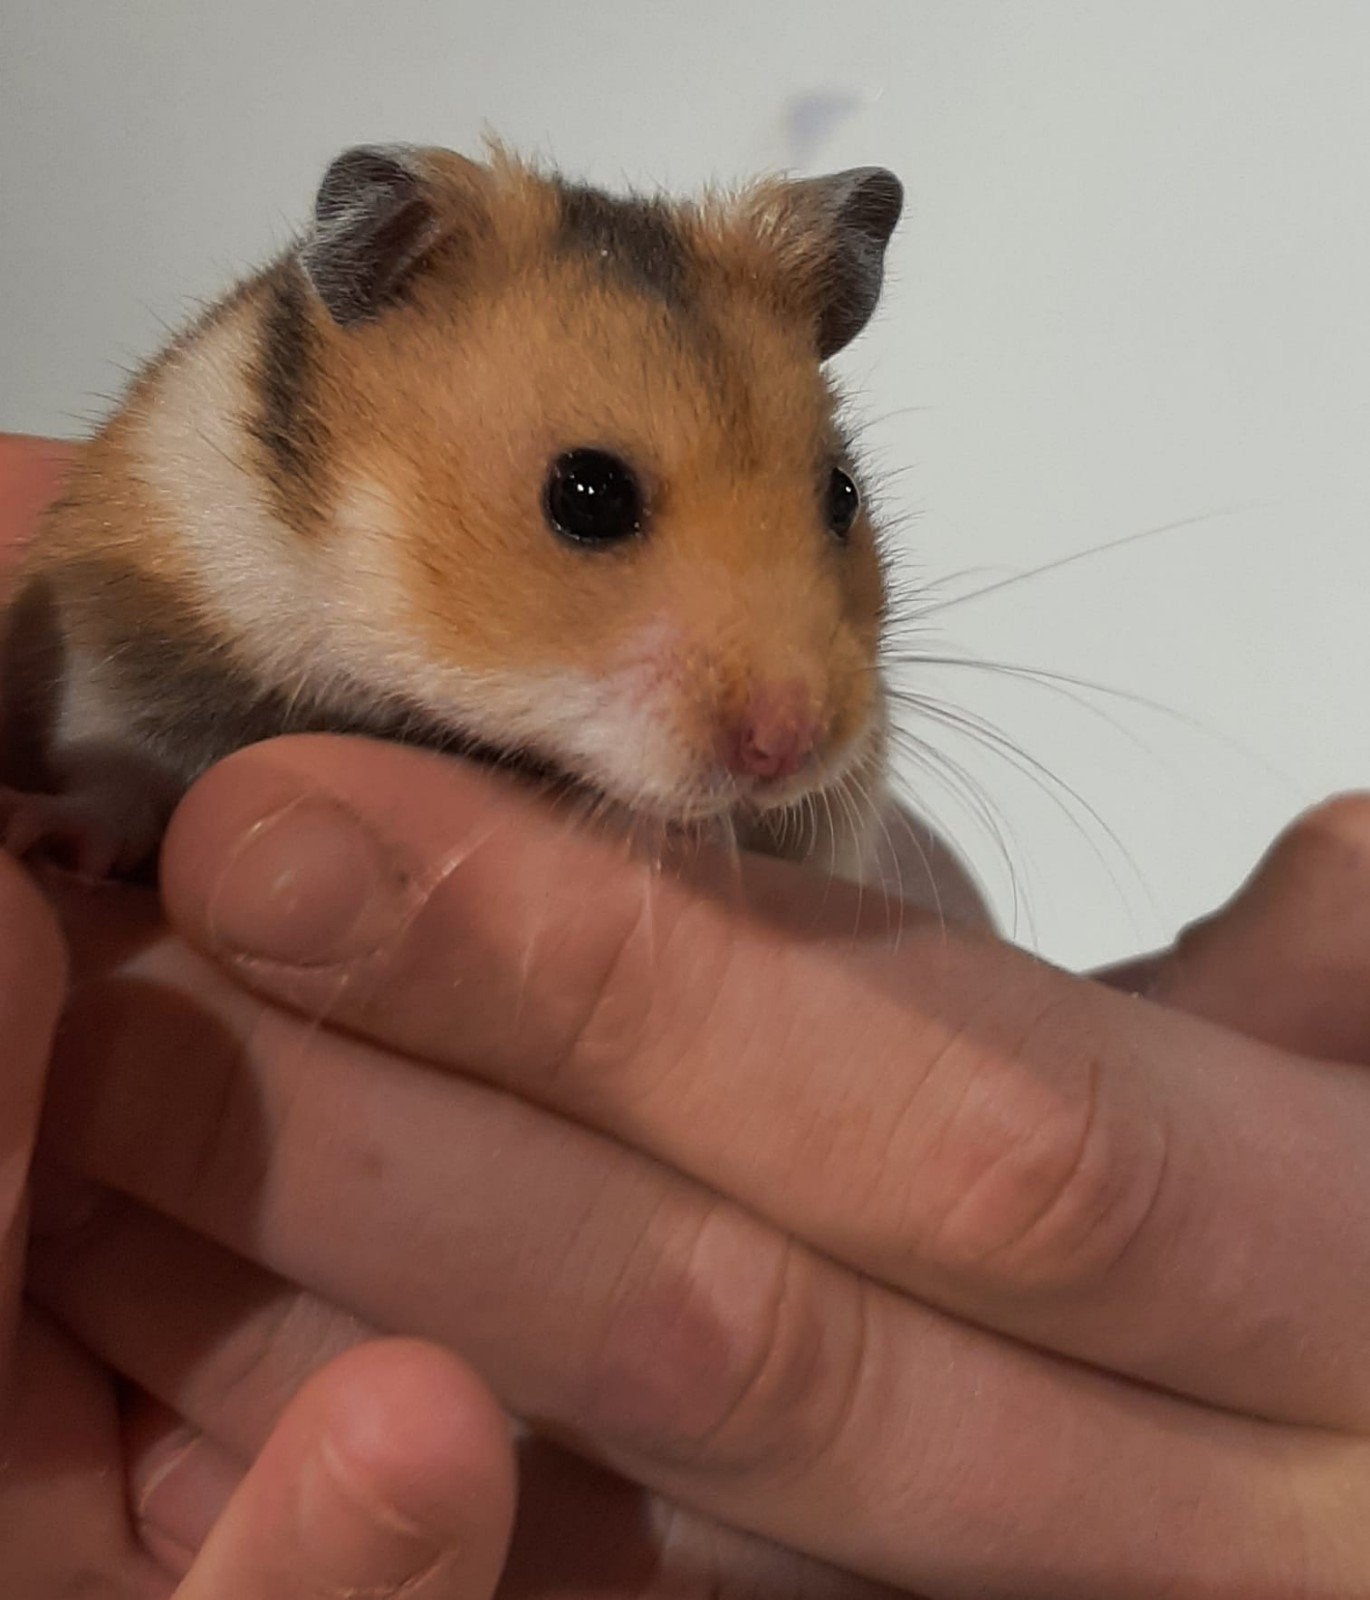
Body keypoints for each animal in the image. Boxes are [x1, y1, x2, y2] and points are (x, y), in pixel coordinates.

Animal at [0, 142, 902, 884]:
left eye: (843, 494)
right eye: (588, 494)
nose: (790, 748)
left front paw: (712, 833)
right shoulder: (133, 631)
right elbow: (118, 769)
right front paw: (31, 833)